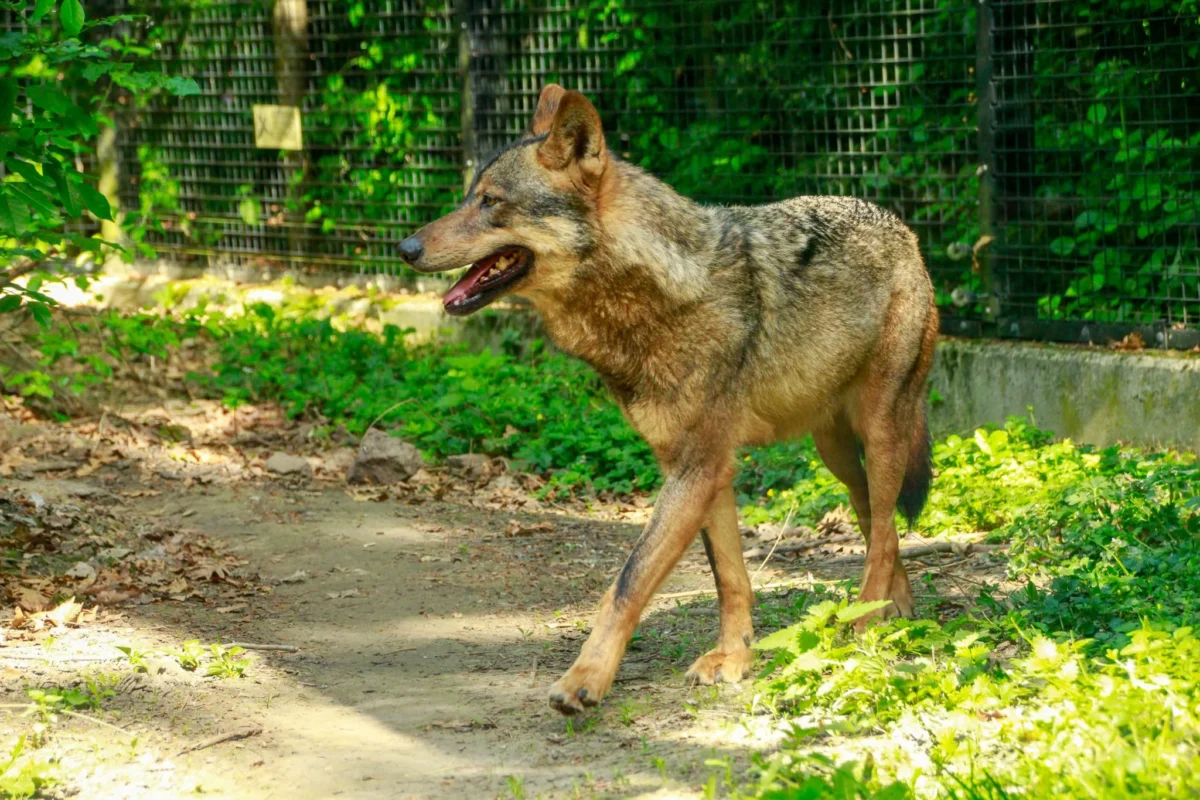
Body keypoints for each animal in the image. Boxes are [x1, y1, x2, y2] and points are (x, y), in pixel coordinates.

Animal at [398, 84, 938, 716]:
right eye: (468, 197)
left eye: (490, 201)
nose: (405, 247)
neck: (657, 294)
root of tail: (900, 226)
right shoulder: (703, 470)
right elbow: (730, 579)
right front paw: (735, 660)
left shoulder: (697, 469)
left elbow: (627, 583)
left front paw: (584, 680)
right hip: (836, 453)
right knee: (879, 520)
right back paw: (891, 608)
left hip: (879, 432)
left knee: (882, 530)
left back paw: (862, 629)